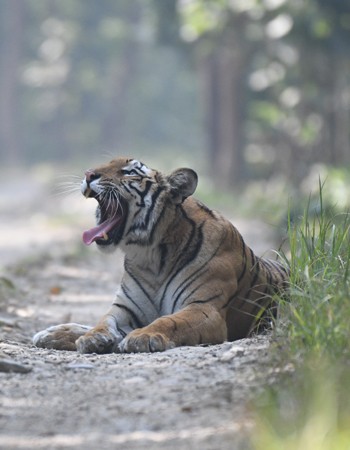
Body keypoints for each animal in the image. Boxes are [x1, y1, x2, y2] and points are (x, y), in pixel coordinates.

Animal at [32, 156, 288, 354]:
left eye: (128, 172)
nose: (88, 174)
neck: (150, 257)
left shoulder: (204, 308)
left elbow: (169, 320)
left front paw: (142, 337)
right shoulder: (124, 308)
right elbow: (103, 320)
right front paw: (92, 338)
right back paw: (52, 333)